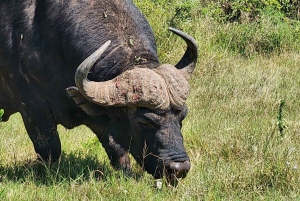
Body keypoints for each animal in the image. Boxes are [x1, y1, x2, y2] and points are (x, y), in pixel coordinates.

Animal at [0, 0, 198, 185]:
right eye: (144, 121)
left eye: (182, 117)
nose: (179, 169)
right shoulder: (34, 109)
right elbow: (50, 148)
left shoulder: (100, 117)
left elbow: (116, 148)